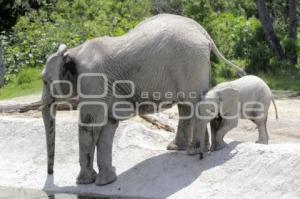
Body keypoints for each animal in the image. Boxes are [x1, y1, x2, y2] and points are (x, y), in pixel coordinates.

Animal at [41, 13, 245, 185]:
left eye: (45, 81)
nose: (50, 173)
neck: (73, 53)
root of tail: (204, 34)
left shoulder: (92, 81)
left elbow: (89, 126)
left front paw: (84, 182)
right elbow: (108, 125)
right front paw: (106, 181)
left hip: (190, 61)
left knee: (192, 104)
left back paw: (194, 152)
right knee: (186, 106)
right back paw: (183, 149)